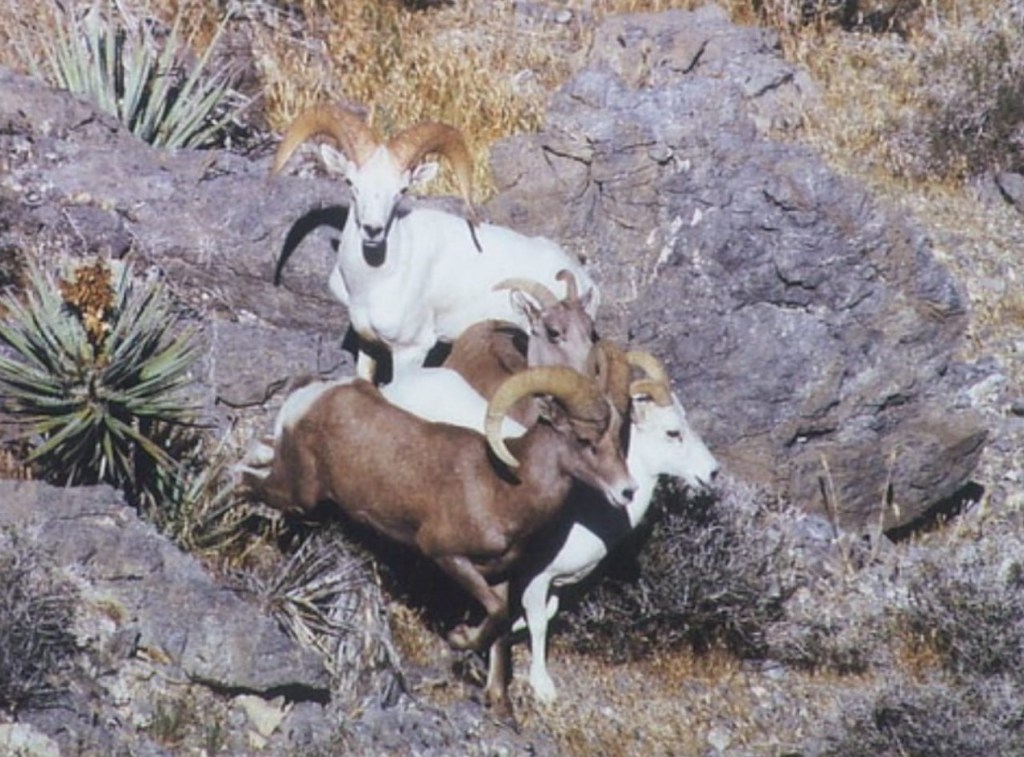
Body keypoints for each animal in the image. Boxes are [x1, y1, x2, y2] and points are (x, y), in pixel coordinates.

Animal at [245, 366, 636, 720]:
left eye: (618, 442)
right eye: (585, 441)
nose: (627, 491)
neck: (503, 489)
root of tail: (311, 397)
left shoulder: (501, 576)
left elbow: (500, 626)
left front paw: (501, 706)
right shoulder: (447, 556)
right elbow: (495, 614)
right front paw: (459, 640)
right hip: (296, 492)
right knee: (245, 478)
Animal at [271, 104, 600, 382]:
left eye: (401, 190)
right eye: (351, 183)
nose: (373, 231)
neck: (371, 282)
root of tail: (586, 283)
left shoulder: (411, 351)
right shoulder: (369, 345)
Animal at [515, 351, 720, 703]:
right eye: (672, 432)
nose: (712, 472)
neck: (587, 514)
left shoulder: (553, 585)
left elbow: (547, 613)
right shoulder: (536, 578)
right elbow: (539, 623)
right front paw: (542, 687)